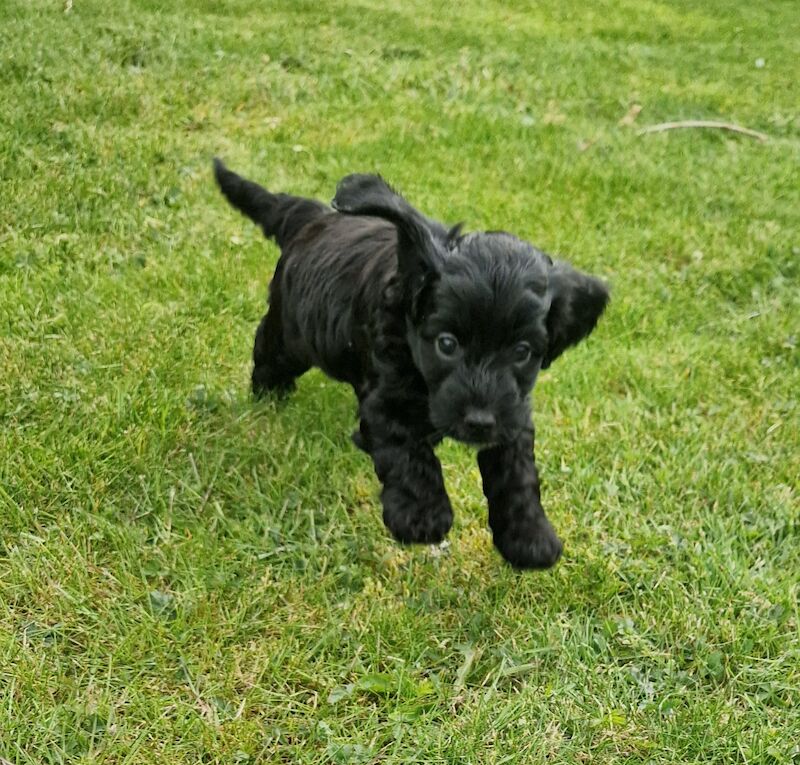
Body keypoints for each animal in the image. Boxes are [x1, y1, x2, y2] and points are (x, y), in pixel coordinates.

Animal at [212, 160, 608, 568]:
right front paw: (422, 516)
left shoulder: (511, 412)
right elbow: (408, 453)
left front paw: (530, 535)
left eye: (522, 352)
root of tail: (313, 217)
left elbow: (518, 471)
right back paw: (269, 396)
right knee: (268, 351)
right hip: (290, 333)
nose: (479, 421)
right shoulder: (390, 397)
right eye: (447, 344)